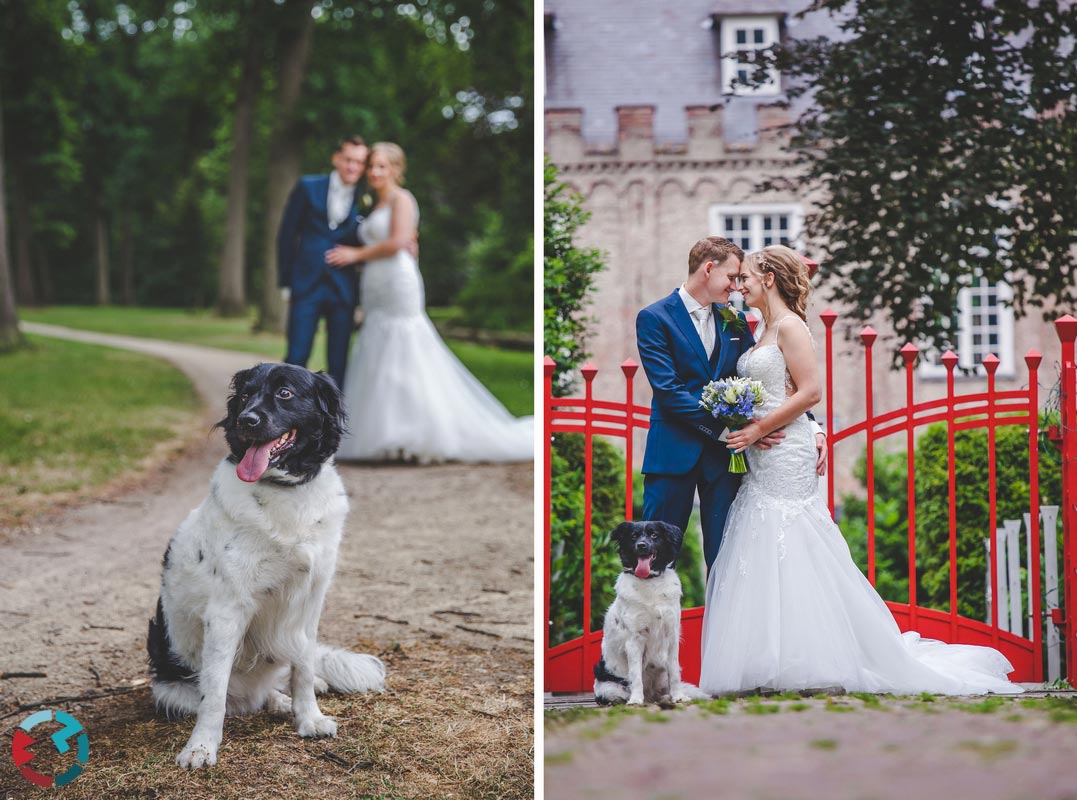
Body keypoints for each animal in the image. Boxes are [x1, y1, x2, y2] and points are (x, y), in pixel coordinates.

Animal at [147, 363, 387, 770]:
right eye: (245, 395)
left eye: (285, 393)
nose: (246, 419)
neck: (286, 492)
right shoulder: (227, 610)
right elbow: (214, 694)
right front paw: (201, 747)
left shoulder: (310, 600)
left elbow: (303, 669)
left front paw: (308, 717)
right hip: (169, 688)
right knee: (238, 698)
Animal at [594, 525, 702, 706]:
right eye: (633, 536)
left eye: (654, 535)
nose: (642, 545)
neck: (650, 582)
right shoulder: (634, 640)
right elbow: (636, 675)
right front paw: (636, 700)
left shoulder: (671, 636)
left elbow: (674, 673)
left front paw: (678, 696)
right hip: (608, 687)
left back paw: (665, 697)